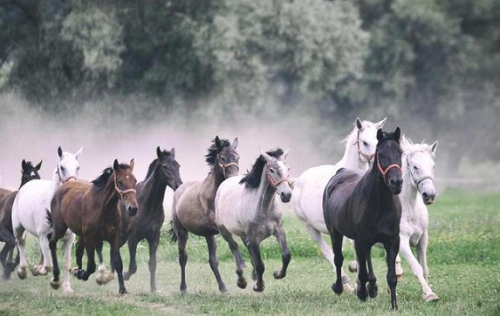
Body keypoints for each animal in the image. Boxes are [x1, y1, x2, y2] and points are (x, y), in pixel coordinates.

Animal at [11, 146, 82, 282]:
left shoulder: (68, 238)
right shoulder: (43, 235)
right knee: (20, 242)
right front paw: (37, 270)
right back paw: (22, 271)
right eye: (62, 167)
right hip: (18, 228)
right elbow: (48, 265)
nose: (72, 186)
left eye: (78, 167)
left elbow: (65, 262)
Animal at [48, 159, 138, 296]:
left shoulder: (114, 239)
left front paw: (123, 289)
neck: (103, 208)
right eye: (120, 182)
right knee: (52, 243)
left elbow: (118, 263)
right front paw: (81, 274)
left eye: (135, 181)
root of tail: (62, 188)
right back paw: (57, 279)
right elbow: (91, 266)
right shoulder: (90, 239)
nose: (133, 208)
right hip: (60, 228)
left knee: (78, 250)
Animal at [170, 136, 240, 294]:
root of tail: (179, 190)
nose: (233, 178)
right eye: (222, 158)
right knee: (182, 257)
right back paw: (183, 288)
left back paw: (223, 288)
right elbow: (233, 243)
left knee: (212, 261)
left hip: (209, 235)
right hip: (182, 231)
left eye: (238, 157)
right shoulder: (217, 225)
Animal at [216, 148, 292, 292]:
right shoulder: (253, 238)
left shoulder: (279, 230)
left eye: (288, 168)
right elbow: (260, 265)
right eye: (272, 170)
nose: (287, 194)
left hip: (244, 235)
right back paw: (241, 281)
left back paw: (253, 276)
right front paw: (259, 286)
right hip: (225, 231)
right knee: (234, 247)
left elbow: (286, 256)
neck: (263, 208)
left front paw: (277, 274)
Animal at [292, 116, 386, 288]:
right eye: (364, 142)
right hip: (310, 227)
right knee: (327, 250)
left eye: (378, 141)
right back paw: (344, 279)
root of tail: (298, 181)